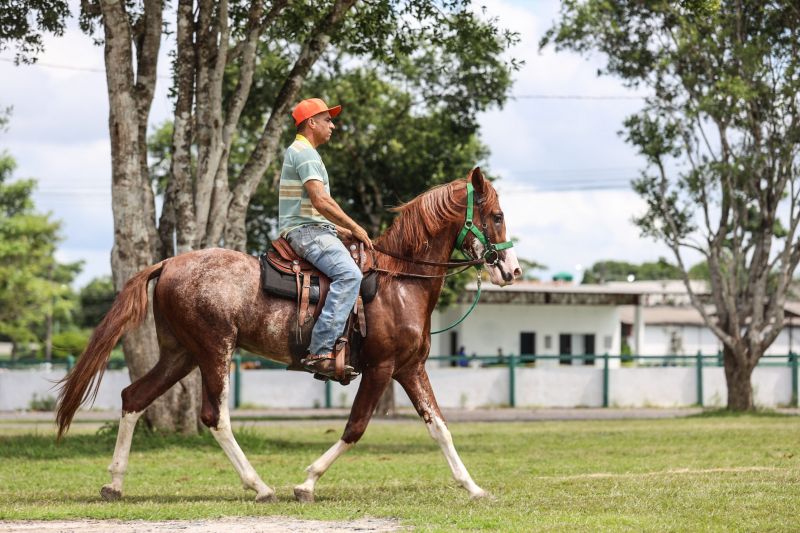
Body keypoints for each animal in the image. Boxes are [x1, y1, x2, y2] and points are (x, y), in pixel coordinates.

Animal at [54, 167, 520, 502]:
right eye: (496, 216)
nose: (512, 271)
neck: (400, 281)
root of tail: (168, 263)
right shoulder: (381, 369)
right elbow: (355, 428)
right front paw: (307, 483)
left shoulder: (411, 368)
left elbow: (439, 427)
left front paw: (474, 488)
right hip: (214, 350)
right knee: (214, 416)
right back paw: (259, 487)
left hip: (180, 354)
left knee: (134, 397)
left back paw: (114, 484)